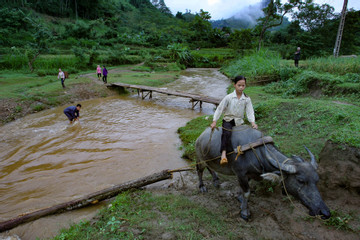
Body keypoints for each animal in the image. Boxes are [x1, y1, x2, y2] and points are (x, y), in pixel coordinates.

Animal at [195, 125, 330, 221]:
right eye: (300, 180)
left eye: (317, 180)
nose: (325, 212)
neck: (258, 152)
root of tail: (200, 137)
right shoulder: (240, 174)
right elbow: (247, 192)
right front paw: (245, 212)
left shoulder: (248, 175)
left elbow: (243, 190)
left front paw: (240, 199)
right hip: (200, 159)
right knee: (200, 170)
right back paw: (202, 187)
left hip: (209, 159)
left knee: (210, 168)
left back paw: (216, 180)